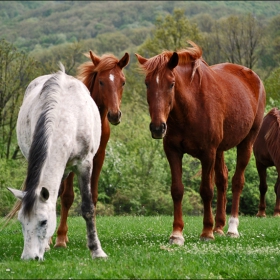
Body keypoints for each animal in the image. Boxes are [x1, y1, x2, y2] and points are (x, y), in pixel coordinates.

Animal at [8, 63, 107, 260]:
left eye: (43, 221)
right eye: (21, 222)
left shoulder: (84, 165)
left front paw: (97, 251)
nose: (29, 258)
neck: (65, 116)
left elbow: (88, 208)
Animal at [54, 50, 130, 247]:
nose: (114, 115)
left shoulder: (98, 157)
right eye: (101, 81)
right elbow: (67, 197)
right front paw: (60, 237)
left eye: (123, 81)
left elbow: (93, 196)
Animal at [136, 40, 266, 244]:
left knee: (237, 181)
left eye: (171, 84)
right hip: (220, 150)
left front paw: (206, 232)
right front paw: (177, 233)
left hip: (246, 142)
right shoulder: (173, 152)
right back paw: (219, 227)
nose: (157, 128)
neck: (191, 107)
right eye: (147, 83)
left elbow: (206, 190)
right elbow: (177, 190)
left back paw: (232, 228)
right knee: (223, 179)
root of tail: (254, 77)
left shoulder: (208, 153)